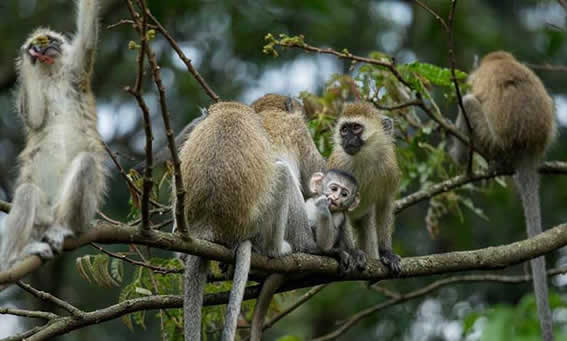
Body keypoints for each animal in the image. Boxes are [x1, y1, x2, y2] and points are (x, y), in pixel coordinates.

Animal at [0, 0, 106, 268]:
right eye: (39, 44)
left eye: (52, 41)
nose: (45, 48)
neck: (52, 75)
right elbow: (35, 117)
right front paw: (28, 58)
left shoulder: (77, 72)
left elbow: (87, 37)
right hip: (41, 217)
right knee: (27, 192)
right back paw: (13, 259)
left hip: (76, 212)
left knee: (86, 163)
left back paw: (63, 229)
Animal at [326, 102, 402, 272]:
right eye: (344, 130)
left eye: (356, 128)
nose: (347, 139)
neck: (365, 157)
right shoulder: (339, 165)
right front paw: (352, 252)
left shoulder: (390, 167)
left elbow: (385, 204)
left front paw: (386, 252)